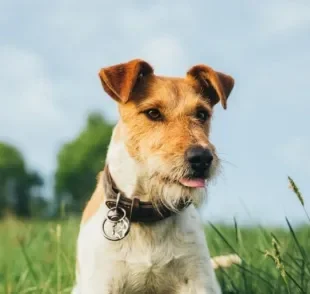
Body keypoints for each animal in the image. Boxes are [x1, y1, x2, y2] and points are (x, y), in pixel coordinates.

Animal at [72, 58, 235, 292]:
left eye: (202, 114)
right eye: (153, 113)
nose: (202, 158)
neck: (149, 212)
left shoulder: (198, 280)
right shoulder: (101, 282)